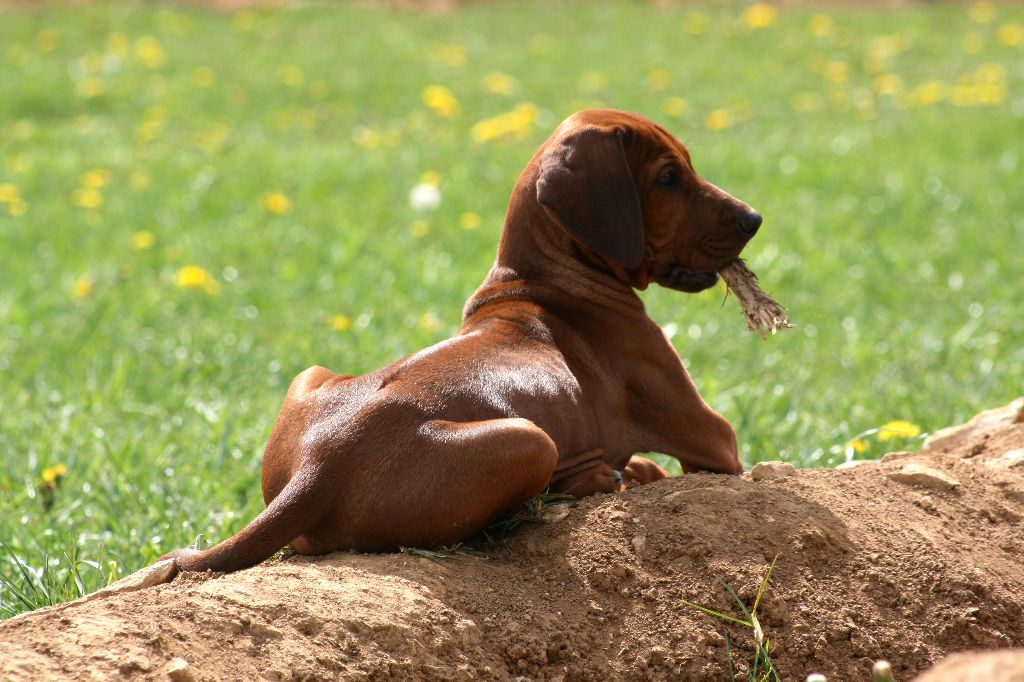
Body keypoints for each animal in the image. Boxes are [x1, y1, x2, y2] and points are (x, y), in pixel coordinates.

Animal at [161, 109, 761, 569]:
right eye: (668, 178)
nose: (753, 218)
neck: (541, 278)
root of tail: (315, 472)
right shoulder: (714, 440)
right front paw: (633, 471)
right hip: (528, 437)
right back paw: (597, 476)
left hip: (310, 374)